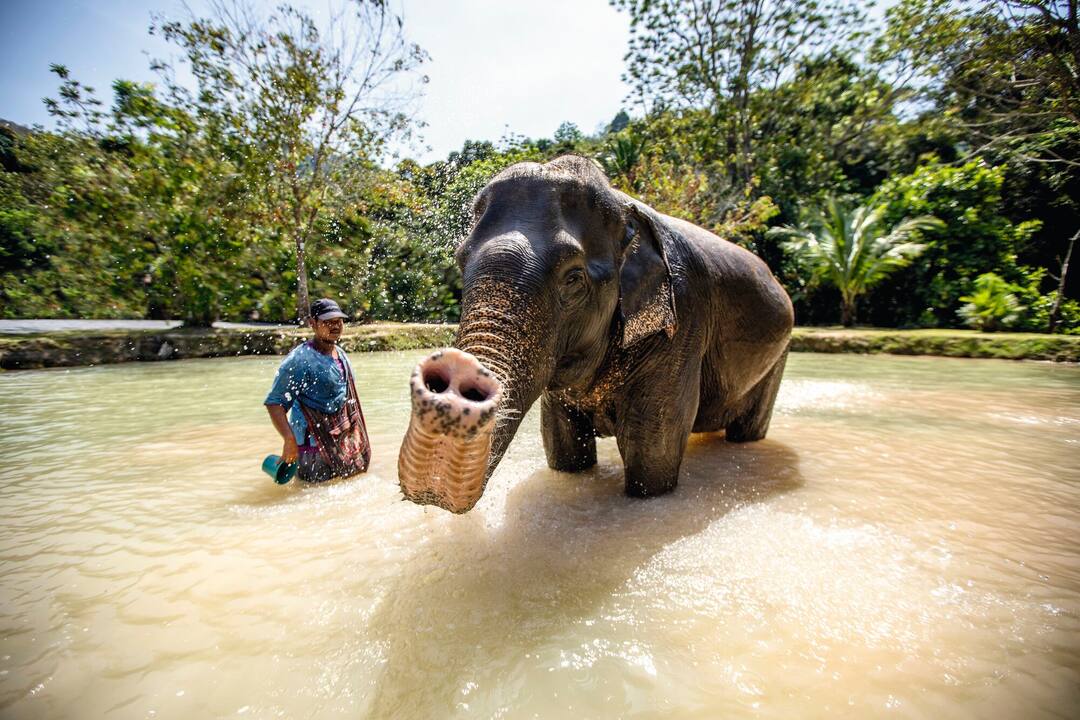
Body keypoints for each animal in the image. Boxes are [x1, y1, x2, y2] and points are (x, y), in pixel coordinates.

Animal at [398, 155, 793, 513]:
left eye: (573, 278)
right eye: (460, 261)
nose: (458, 366)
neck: (624, 206)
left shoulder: (682, 324)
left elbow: (651, 459)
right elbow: (564, 449)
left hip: (779, 355)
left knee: (748, 429)